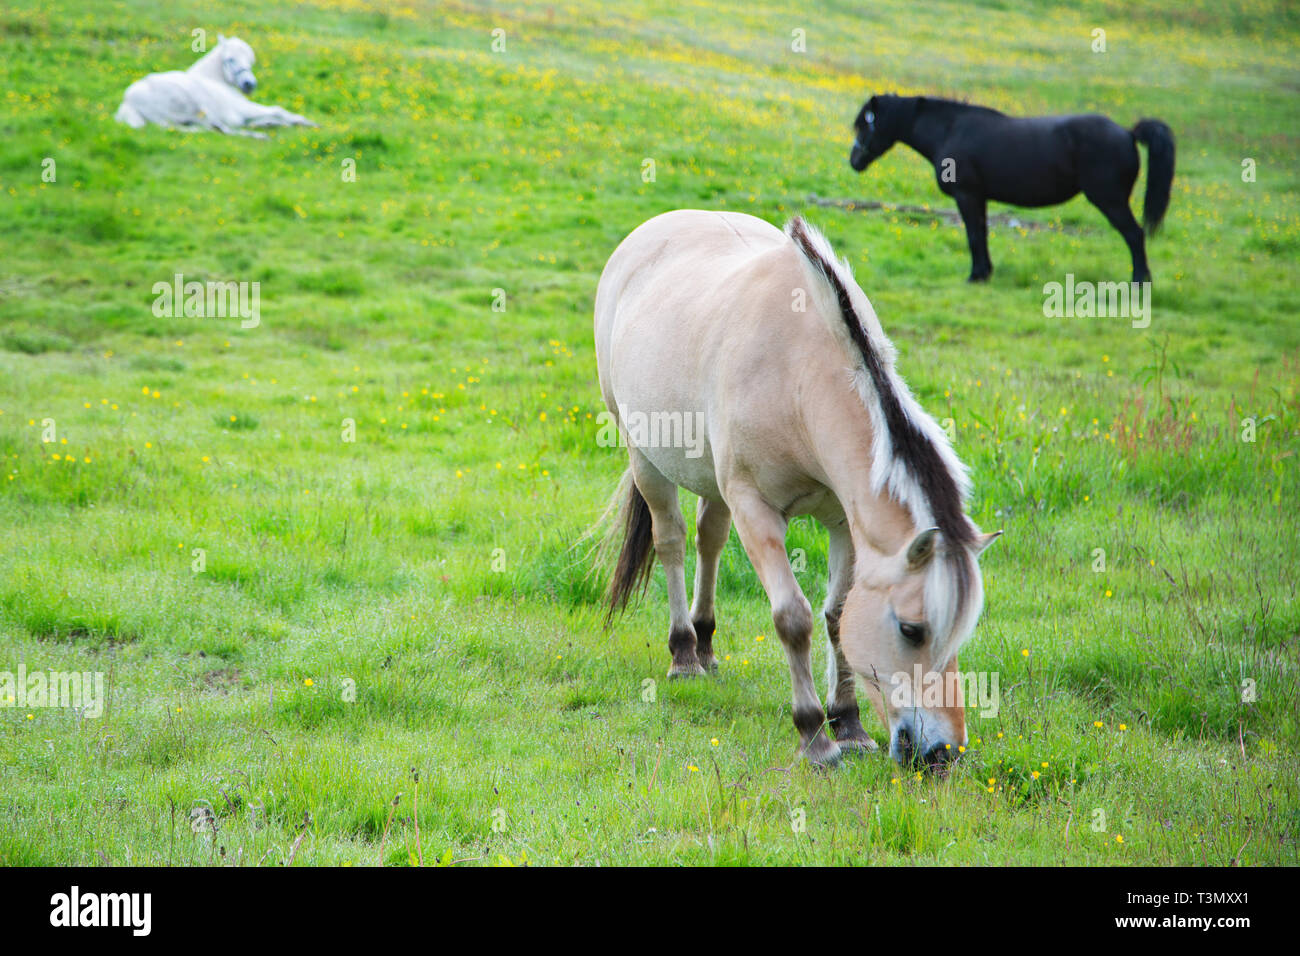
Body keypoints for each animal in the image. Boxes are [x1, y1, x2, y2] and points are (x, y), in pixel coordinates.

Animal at [115, 35, 317, 139]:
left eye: (251, 60)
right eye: (230, 59)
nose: (249, 84)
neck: (217, 80)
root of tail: (127, 103)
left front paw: (271, 123)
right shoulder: (241, 108)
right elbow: (278, 110)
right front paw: (308, 123)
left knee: (208, 128)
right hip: (191, 105)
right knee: (221, 128)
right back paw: (258, 135)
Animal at [594, 209, 1000, 770]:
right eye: (911, 630)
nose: (943, 752)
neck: (798, 376)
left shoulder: (844, 521)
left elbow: (836, 616)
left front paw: (848, 725)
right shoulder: (756, 510)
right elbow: (793, 618)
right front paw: (814, 735)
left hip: (712, 484)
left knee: (708, 539)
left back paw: (706, 644)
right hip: (645, 460)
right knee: (671, 541)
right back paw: (684, 655)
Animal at [849, 94, 1175, 283]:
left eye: (866, 125)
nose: (853, 161)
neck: (950, 130)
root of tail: (1127, 132)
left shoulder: (967, 196)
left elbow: (973, 236)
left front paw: (976, 276)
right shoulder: (979, 198)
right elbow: (981, 234)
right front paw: (985, 272)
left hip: (1110, 201)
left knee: (1135, 235)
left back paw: (1140, 279)